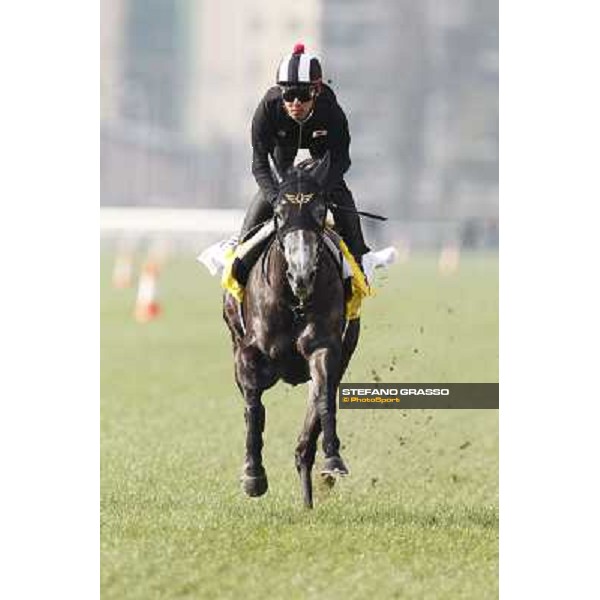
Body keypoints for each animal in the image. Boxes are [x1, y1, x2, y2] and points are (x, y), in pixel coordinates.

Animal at [223, 154, 358, 506]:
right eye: (280, 213)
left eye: (320, 209)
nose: (301, 275)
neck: (294, 301)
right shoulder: (248, 353)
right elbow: (254, 409)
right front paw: (253, 476)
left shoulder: (325, 347)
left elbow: (323, 397)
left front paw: (332, 460)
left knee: (310, 428)